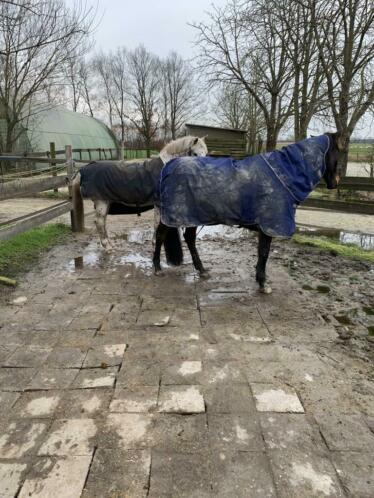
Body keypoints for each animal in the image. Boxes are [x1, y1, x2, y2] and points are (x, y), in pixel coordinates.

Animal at [72, 136, 207, 260]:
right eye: (195, 154)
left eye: (206, 154)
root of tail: (83, 169)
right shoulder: (159, 204)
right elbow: (157, 224)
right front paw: (155, 246)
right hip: (102, 202)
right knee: (99, 223)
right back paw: (108, 247)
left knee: (102, 223)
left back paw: (109, 245)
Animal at [153, 134, 342, 294]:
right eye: (337, 152)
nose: (335, 183)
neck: (283, 174)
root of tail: (168, 167)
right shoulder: (268, 226)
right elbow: (264, 253)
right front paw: (263, 284)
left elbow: (261, 253)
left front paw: (260, 280)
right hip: (175, 215)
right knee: (161, 235)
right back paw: (157, 268)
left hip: (193, 215)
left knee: (190, 239)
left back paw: (202, 270)